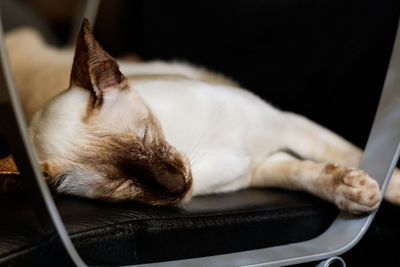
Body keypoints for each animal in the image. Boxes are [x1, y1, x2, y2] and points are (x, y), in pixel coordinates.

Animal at [1, 18, 398, 215]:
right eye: (124, 187)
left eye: (147, 137)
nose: (179, 185)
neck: (194, 149)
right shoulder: (259, 167)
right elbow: (308, 174)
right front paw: (356, 192)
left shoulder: (284, 123)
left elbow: (348, 154)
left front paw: (381, 189)